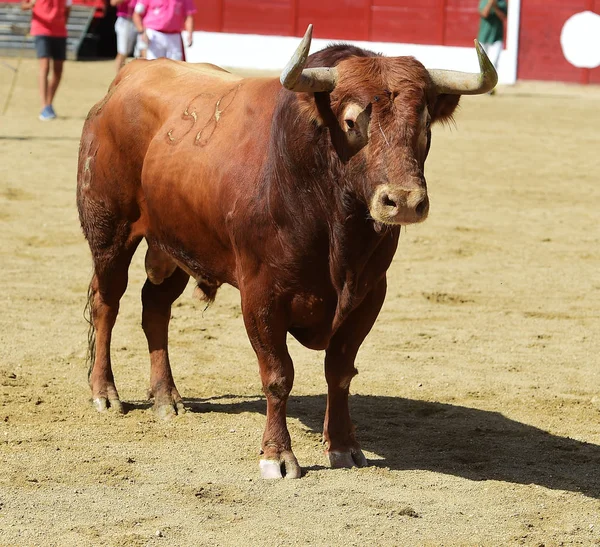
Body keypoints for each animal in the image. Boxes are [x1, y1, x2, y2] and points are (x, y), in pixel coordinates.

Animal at [75, 26, 496, 480]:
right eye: (351, 121)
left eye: (423, 124)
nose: (402, 201)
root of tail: (128, 76)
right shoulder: (261, 295)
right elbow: (278, 375)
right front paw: (277, 455)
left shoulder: (369, 295)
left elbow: (340, 372)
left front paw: (344, 446)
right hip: (110, 232)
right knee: (107, 302)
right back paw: (105, 392)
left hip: (174, 244)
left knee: (155, 307)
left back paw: (166, 397)